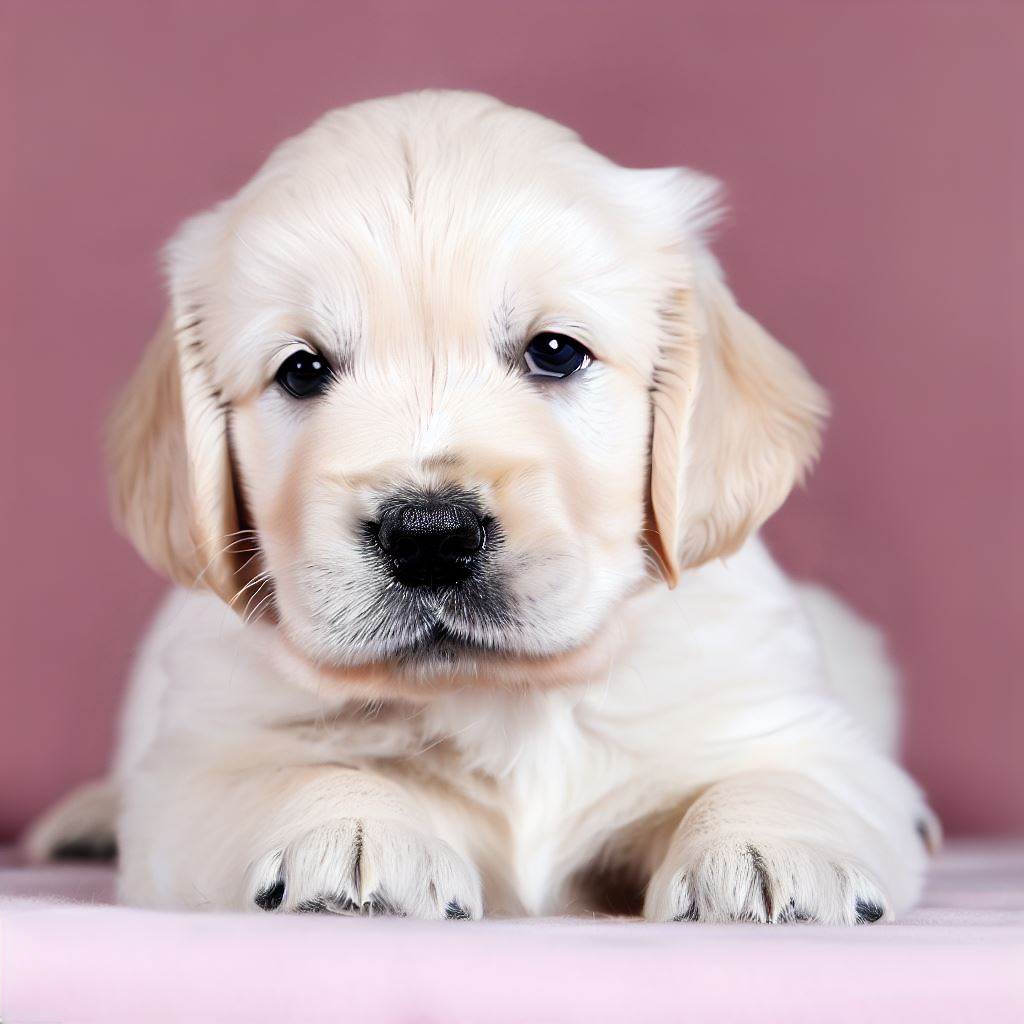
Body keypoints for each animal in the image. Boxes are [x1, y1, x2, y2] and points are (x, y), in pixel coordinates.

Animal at [25, 90, 937, 921]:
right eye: (301, 370)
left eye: (556, 352)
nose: (429, 535)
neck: (503, 694)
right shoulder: (195, 772)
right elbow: (295, 768)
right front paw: (353, 831)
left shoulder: (779, 718)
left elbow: (780, 772)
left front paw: (769, 847)